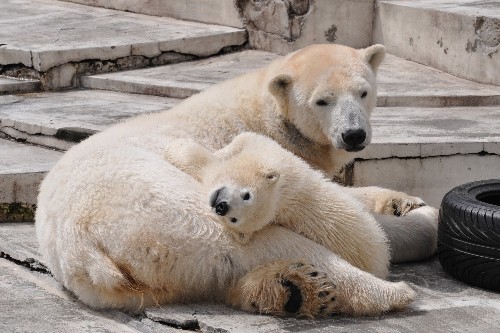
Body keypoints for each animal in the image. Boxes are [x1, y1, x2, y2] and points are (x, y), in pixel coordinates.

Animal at [35, 44, 438, 316]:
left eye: (364, 92)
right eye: (322, 100)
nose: (353, 135)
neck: (265, 109)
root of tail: (82, 245)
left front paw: (403, 201)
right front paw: (421, 216)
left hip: (138, 285)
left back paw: (294, 289)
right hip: (165, 209)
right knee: (261, 244)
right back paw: (388, 292)